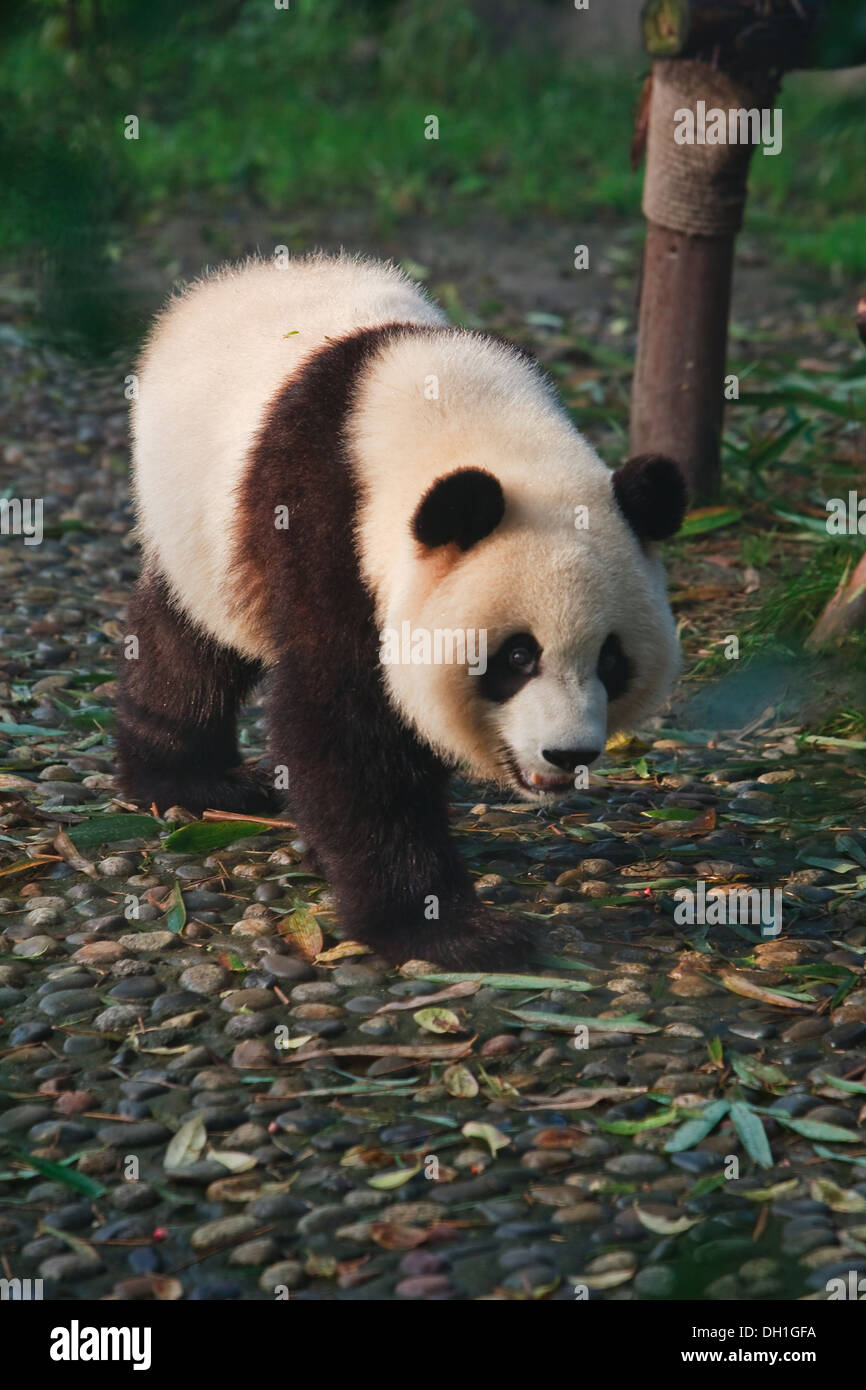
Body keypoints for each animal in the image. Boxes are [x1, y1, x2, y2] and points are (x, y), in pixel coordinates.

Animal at [116, 252, 683, 967]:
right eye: (516, 656)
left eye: (612, 661)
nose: (568, 754)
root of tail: (228, 279)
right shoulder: (326, 527)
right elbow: (346, 726)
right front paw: (448, 929)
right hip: (194, 515)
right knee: (190, 643)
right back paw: (188, 780)